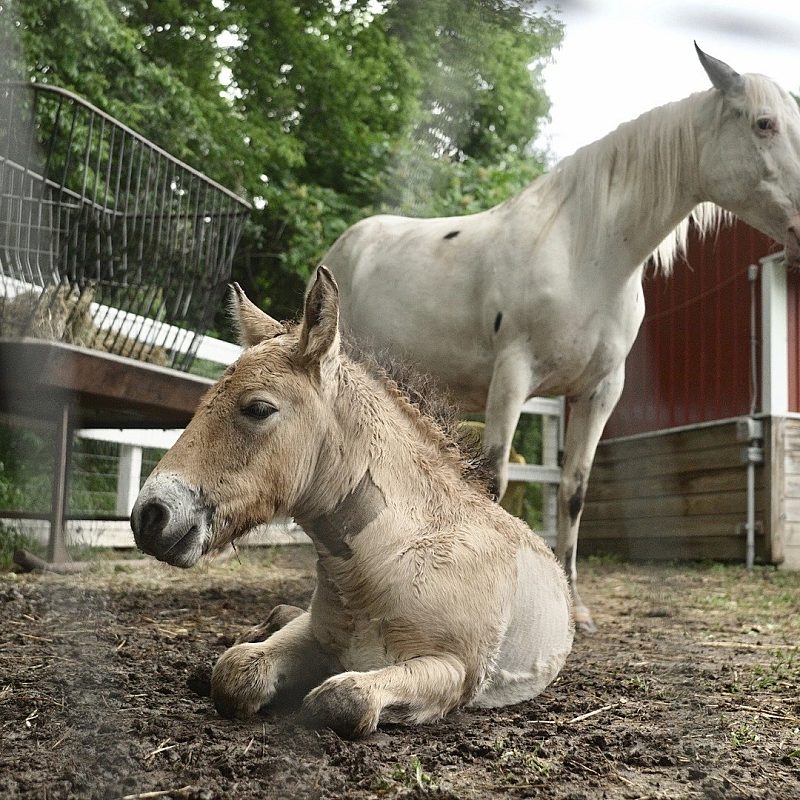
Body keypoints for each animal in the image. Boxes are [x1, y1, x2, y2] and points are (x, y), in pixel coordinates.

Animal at [130, 267, 574, 738]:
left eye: (258, 408)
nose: (150, 515)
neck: (389, 557)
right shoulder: (314, 633)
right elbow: (235, 672)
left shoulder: (454, 669)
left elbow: (343, 698)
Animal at [319, 45, 800, 633]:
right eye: (764, 123)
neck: (585, 252)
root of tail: (341, 250)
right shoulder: (512, 379)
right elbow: (494, 483)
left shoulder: (598, 392)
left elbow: (574, 492)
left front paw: (576, 607)